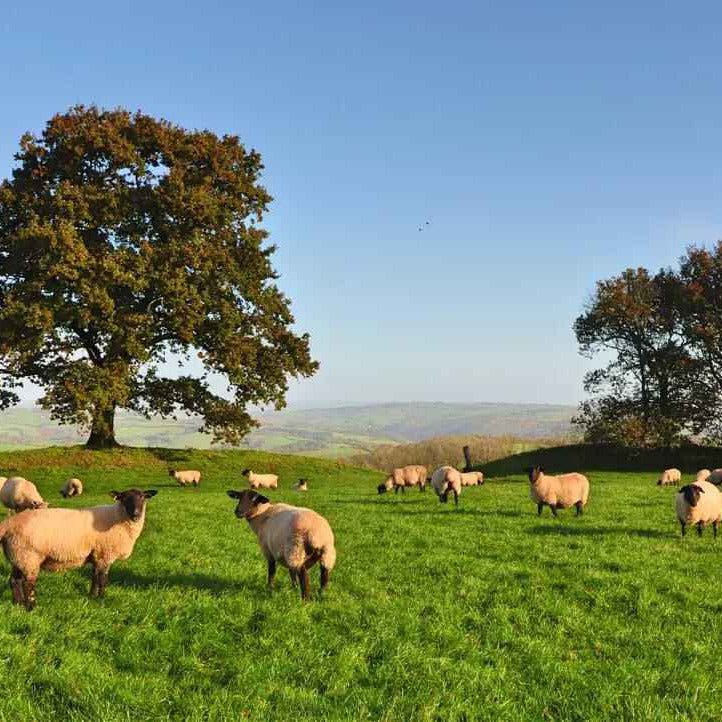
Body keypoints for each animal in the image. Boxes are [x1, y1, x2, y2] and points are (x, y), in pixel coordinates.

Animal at [0, 488, 157, 610]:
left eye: (143, 497)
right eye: (124, 498)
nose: (136, 515)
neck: (118, 518)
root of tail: (8, 524)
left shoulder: (96, 555)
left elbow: (95, 576)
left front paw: (92, 596)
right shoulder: (105, 554)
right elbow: (103, 579)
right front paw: (102, 598)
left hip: (18, 556)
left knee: (14, 581)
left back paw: (18, 604)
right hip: (29, 556)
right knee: (28, 584)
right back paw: (31, 607)